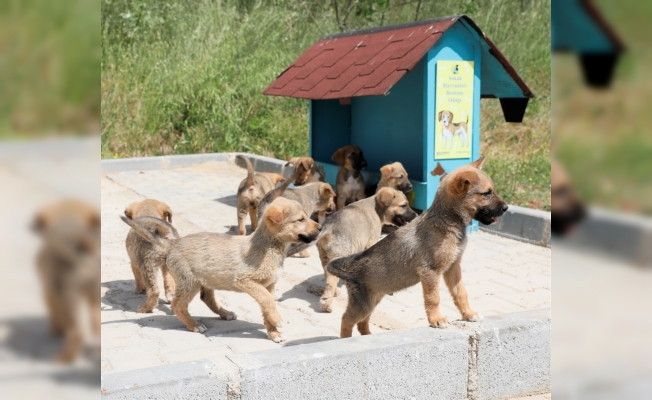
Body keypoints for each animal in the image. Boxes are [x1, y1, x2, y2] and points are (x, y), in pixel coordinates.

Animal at [121, 198, 322, 342]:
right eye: (300, 219)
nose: (320, 227)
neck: (269, 247)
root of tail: (172, 243)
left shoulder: (269, 285)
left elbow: (267, 306)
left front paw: (273, 332)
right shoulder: (246, 280)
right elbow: (267, 301)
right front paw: (278, 322)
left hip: (206, 279)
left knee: (206, 298)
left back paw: (225, 314)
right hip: (189, 282)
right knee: (178, 305)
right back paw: (194, 325)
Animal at [326, 156, 510, 338]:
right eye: (487, 193)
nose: (506, 208)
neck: (447, 221)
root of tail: (352, 260)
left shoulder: (453, 268)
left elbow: (461, 294)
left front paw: (469, 314)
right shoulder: (430, 271)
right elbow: (433, 298)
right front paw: (436, 319)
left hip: (373, 299)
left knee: (362, 322)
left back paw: (368, 335)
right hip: (363, 303)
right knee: (346, 320)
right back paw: (347, 340)